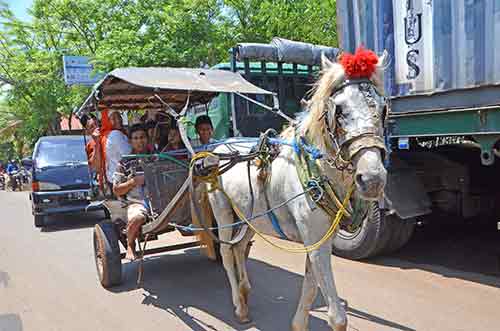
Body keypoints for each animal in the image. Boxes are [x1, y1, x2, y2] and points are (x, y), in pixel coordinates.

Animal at [205, 52, 388, 331]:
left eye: (382, 109)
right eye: (340, 110)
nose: (373, 179)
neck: (314, 170)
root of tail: (218, 147)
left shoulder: (320, 239)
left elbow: (311, 287)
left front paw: (298, 323)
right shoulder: (314, 238)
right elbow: (337, 317)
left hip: (249, 218)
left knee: (239, 248)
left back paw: (245, 293)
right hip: (223, 212)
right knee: (226, 253)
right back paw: (239, 306)